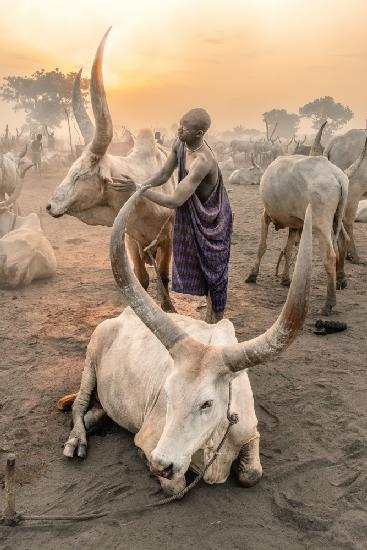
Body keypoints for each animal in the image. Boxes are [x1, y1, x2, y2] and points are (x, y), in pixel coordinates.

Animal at [46, 29, 176, 310]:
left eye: (81, 174)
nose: (50, 206)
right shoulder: (129, 240)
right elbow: (141, 279)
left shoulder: (168, 237)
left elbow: (163, 278)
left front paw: (168, 308)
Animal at [61, 187, 314, 500]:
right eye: (167, 393)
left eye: (206, 403)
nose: (161, 463)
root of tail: (120, 316)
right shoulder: (149, 440)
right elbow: (177, 486)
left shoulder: (252, 432)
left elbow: (251, 474)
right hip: (90, 359)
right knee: (78, 406)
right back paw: (78, 438)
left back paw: (97, 417)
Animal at [247, 123, 367, 316]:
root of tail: (337, 175)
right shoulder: (295, 224)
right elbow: (288, 250)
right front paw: (285, 279)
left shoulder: (265, 215)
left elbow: (262, 247)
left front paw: (252, 274)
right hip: (336, 217)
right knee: (342, 242)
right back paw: (340, 281)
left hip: (321, 223)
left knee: (330, 255)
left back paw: (329, 303)